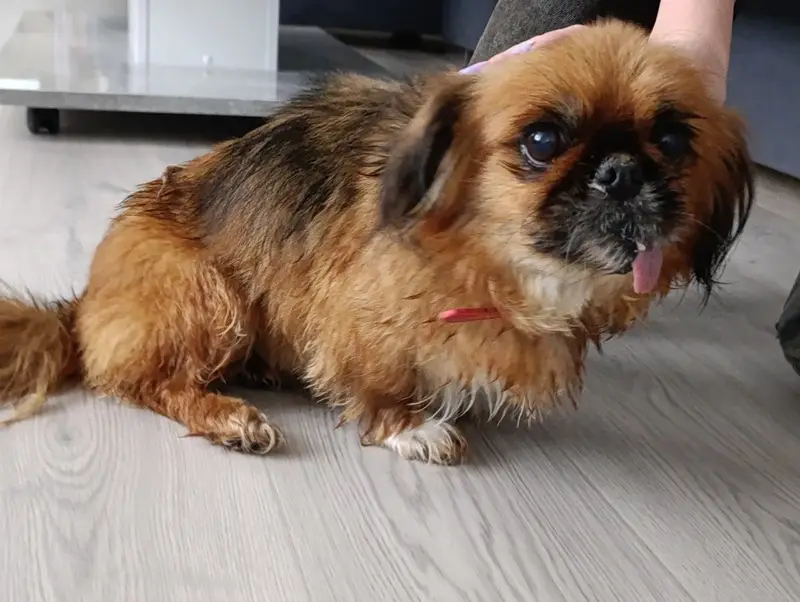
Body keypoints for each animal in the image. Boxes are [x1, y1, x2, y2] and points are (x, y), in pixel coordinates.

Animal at [0, 21, 753, 464]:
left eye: (673, 141)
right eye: (543, 141)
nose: (621, 171)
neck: (497, 264)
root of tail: (82, 306)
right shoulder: (360, 312)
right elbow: (381, 376)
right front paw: (410, 425)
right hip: (208, 292)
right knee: (145, 380)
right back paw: (226, 415)